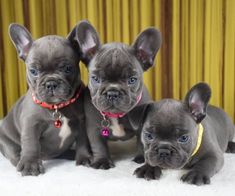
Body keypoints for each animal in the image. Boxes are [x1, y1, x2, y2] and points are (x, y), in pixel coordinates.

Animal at [0, 23, 90, 176]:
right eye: (33, 71)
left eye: (67, 68)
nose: (51, 83)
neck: (57, 107)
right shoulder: (31, 124)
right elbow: (31, 143)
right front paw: (30, 164)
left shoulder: (81, 121)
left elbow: (83, 141)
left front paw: (84, 158)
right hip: (6, 142)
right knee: (15, 154)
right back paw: (21, 161)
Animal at [73, 20, 162, 169]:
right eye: (95, 79)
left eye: (132, 80)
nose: (112, 92)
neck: (115, 115)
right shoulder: (94, 129)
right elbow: (99, 146)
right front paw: (102, 161)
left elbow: (142, 143)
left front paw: (141, 158)